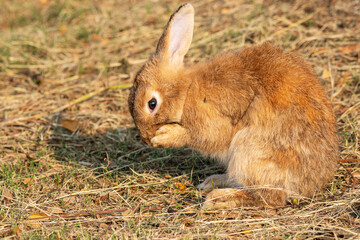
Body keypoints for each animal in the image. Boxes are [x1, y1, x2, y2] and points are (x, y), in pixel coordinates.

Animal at [128, 4, 338, 210]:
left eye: (152, 104)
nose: (146, 138)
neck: (186, 91)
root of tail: (312, 184)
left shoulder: (213, 117)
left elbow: (205, 135)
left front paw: (164, 136)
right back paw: (212, 182)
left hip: (250, 150)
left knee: (270, 198)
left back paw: (218, 199)